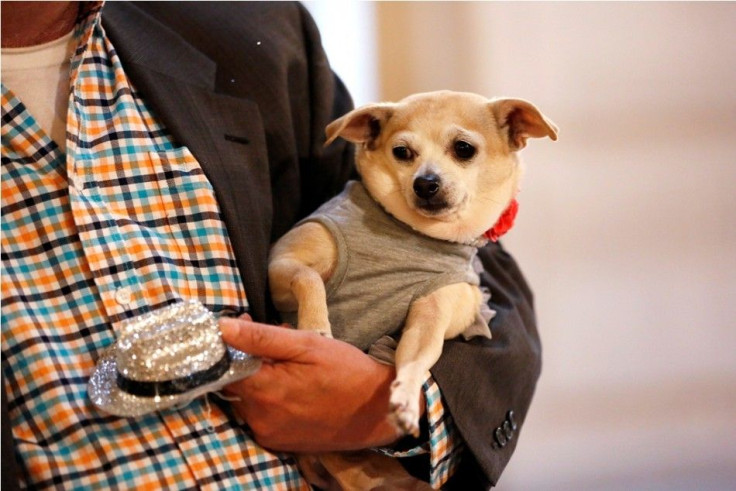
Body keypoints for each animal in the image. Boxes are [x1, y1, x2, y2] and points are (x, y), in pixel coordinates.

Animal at [268, 91, 556, 488]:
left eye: (463, 148)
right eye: (402, 152)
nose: (425, 182)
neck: (411, 233)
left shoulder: (431, 315)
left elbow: (416, 359)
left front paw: (404, 397)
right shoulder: (281, 262)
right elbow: (309, 279)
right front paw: (315, 328)